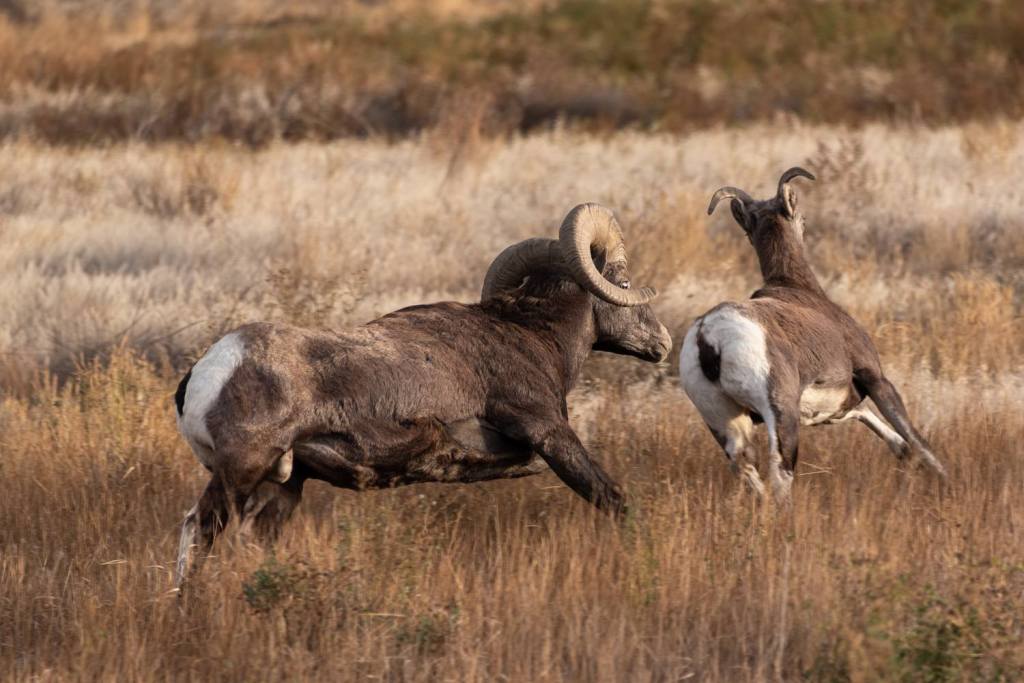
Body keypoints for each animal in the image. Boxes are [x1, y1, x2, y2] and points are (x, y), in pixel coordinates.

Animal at [174, 203, 672, 586]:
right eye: (625, 285)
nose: (663, 343)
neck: (536, 338)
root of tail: (206, 370)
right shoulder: (549, 434)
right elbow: (612, 499)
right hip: (240, 472)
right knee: (197, 530)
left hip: (282, 488)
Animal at [679, 168, 946, 499]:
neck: (798, 286)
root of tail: (708, 338)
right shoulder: (876, 379)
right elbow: (914, 436)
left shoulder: (832, 410)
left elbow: (881, 428)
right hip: (780, 416)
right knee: (780, 474)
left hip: (725, 422)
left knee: (746, 467)